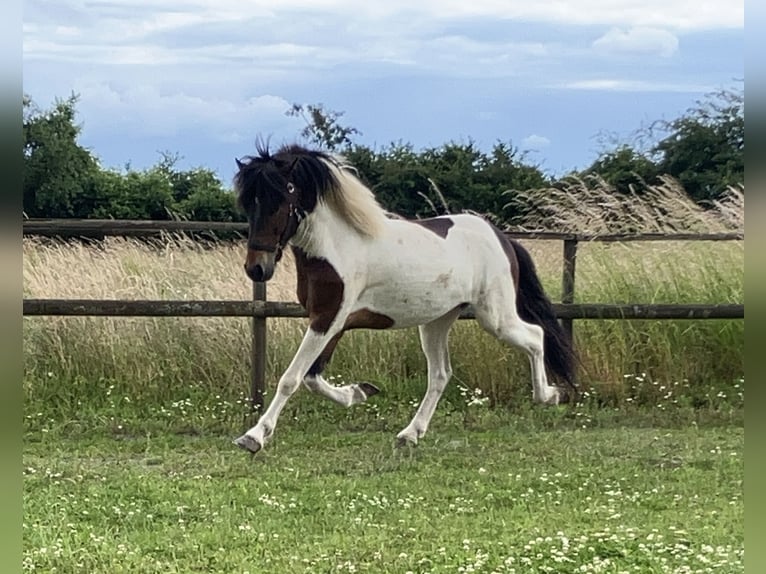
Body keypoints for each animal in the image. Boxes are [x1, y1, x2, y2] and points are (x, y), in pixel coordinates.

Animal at [232, 143, 576, 454]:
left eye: (282, 196)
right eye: (249, 202)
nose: (257, 268)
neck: (338, 247)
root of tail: (503, 239)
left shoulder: (328, 319)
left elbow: (292, 378)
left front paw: (254, 437)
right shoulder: (331, 321)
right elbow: (312, 377)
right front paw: (361, 391)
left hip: (495, 316)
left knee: (536, 336)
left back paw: (551, 395)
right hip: (438, 321)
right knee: (440, 374)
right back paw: (410, 434)